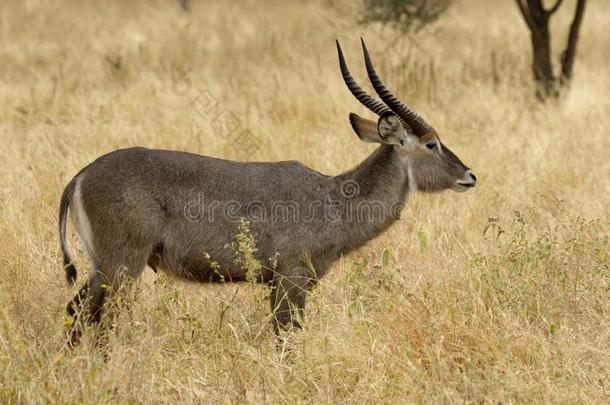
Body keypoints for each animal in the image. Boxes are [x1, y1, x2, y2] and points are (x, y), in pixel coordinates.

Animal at [58, 38, 476, 344]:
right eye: (432, 143)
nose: (469, 175)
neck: (336, 199)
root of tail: (81, 175)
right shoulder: (292, 278)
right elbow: (287, 337)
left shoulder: (280, 283)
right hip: (123, 265)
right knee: (96, 318)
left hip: (101, 266)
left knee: (75, 312)